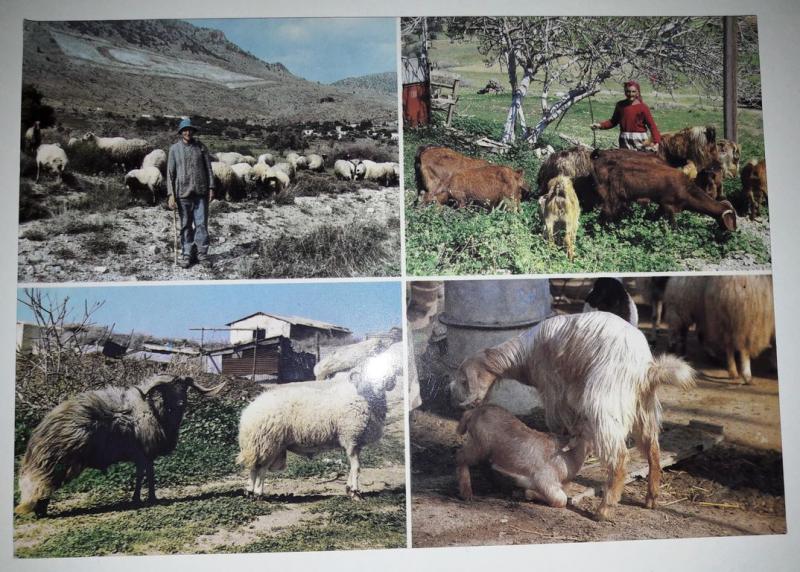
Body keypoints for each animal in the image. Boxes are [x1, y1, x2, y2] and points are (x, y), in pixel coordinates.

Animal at [16, 374, 228, 516]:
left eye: (185, 388)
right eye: (169, 389)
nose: (182, 403)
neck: (152, 410)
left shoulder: (146, 455)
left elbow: (149, 474)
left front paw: (150, 498)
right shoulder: (143, 453)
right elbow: (143, 475)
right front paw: (139, 499)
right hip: (57, 460)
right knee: (42, 484)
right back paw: (40, 510)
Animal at [236, 344, 400, 500]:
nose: (386, 383)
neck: (362, 395)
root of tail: (248, 413)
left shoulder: (356, 442)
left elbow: (353, 466)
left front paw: (349, 489)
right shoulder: (350, 437)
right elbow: (356, 467)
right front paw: (355, 492)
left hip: (260, 445)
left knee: (253, 468)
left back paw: (249, 491)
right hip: (268, 442)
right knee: (261, 469)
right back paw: (258, 493)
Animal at [454, 404, 592, 508]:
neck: (568, 458)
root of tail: (472, 412)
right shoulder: (544, 480)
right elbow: (561, 500)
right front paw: (528, 493)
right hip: (480, 445)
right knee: (461, 456)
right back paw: (467, 493)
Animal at [588, 149, 736, 231]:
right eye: (732, 219)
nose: (735, 230)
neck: (686, 189)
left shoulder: (662, 204)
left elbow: (655, 216)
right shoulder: (668, 204)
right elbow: (673, 224)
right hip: (611, 195)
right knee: (606, 211)